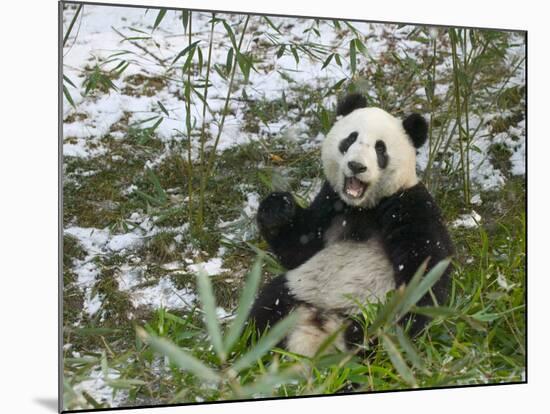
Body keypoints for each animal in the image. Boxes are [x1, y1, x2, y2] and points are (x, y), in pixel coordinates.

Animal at [252, 93, 454, 356]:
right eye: (350, 139)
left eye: (380, 148)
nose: (356, 166)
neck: (363, 207)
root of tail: (320, 324)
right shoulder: (331, 201)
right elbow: (300, 248)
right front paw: (277, 208)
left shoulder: (409, 204)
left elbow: (426, 267)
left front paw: (411, 316)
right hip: (298, 289)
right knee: (264, 309)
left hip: (367, 313)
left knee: (370, 342)